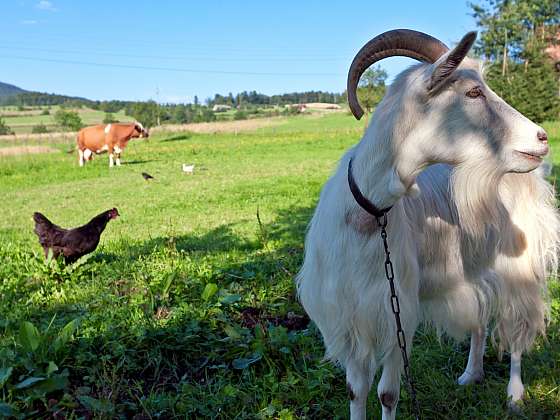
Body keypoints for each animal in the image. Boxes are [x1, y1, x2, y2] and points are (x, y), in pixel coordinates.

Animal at [298, 27, 560, 418]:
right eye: (473, 92)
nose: (541, 138)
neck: (369, 218)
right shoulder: (350, 317)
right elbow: (355, 391)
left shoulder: (398, 312)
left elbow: (387, 393)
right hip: (473, 262)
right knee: (480, 316)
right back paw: (471, 373)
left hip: (519, 263)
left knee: (517, 327)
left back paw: (514, 394)